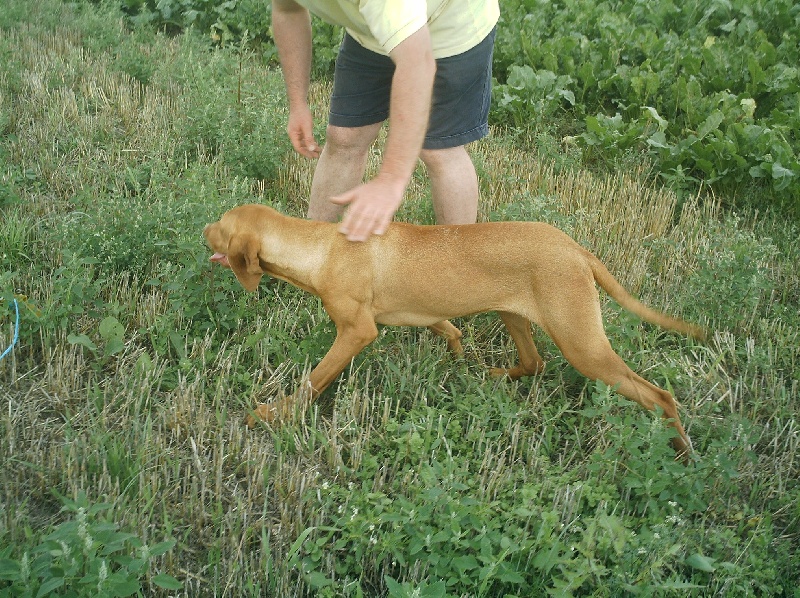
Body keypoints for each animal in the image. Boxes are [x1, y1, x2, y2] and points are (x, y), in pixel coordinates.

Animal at [203, 205, 704, 460]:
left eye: (221, 228)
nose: (202, 228)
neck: (321, 247)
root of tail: (578, 250)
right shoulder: (419, 314)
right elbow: (448, 327)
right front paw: (457, 354)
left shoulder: (357, 332)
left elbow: (314, 379)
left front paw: (272, 414)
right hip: (515, 315)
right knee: (534, 361)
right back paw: (493, 377)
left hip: (584, 346)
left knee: (660, 396)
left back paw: (681, 450)